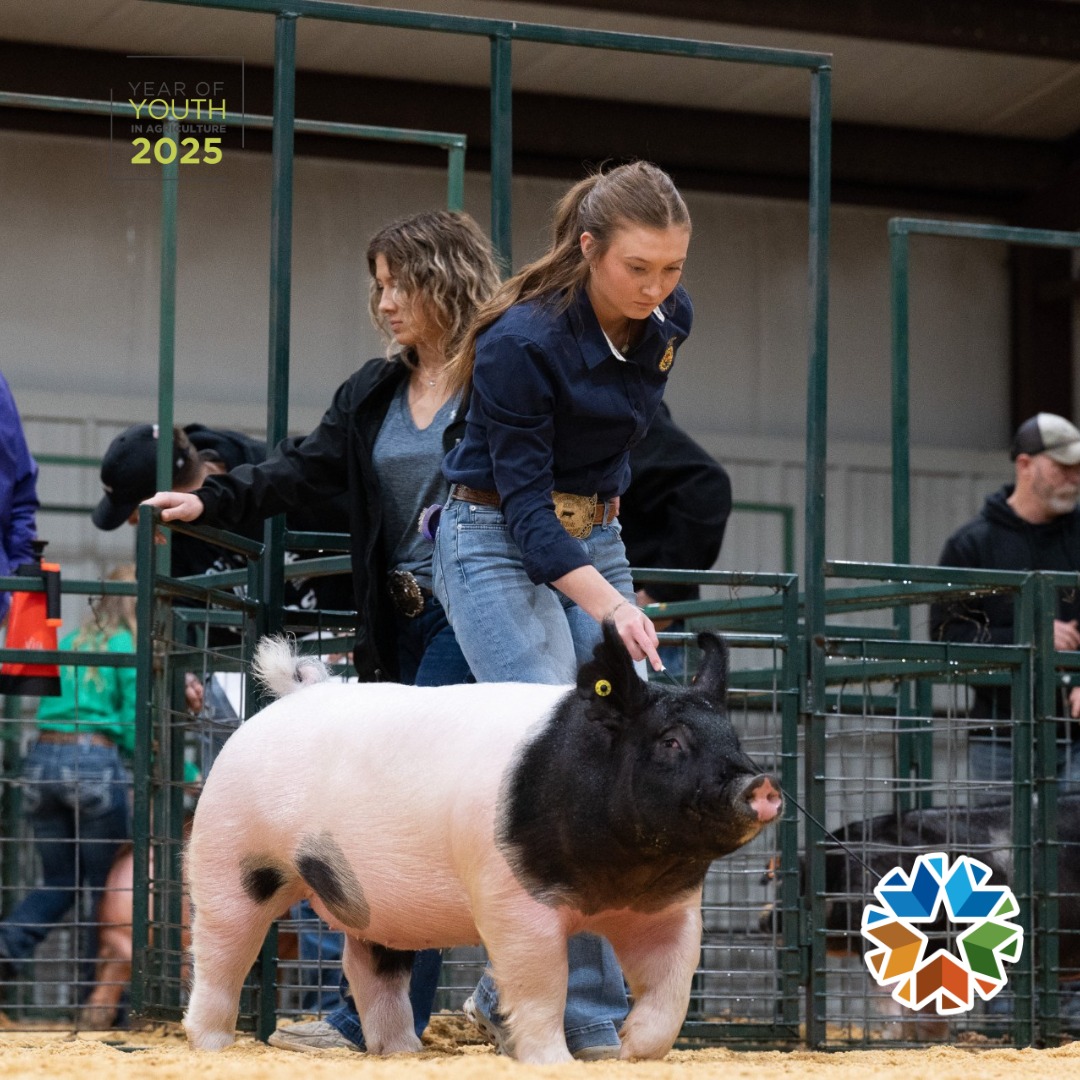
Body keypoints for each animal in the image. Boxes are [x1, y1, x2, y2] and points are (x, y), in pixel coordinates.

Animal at [182, 625, 781, 1063]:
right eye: (672, 742)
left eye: (733, 738)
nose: (762, 784)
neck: (614, 882)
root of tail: (292, 697)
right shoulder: (510, 901)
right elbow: (542, 984)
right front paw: (554, 1062)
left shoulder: (669, 911)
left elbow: (673, 989)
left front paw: (630, 1050)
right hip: (230, 851)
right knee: (218, 948)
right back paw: (212, 1045)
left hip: (372, 898)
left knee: (367, 965)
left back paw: (402, 1053)